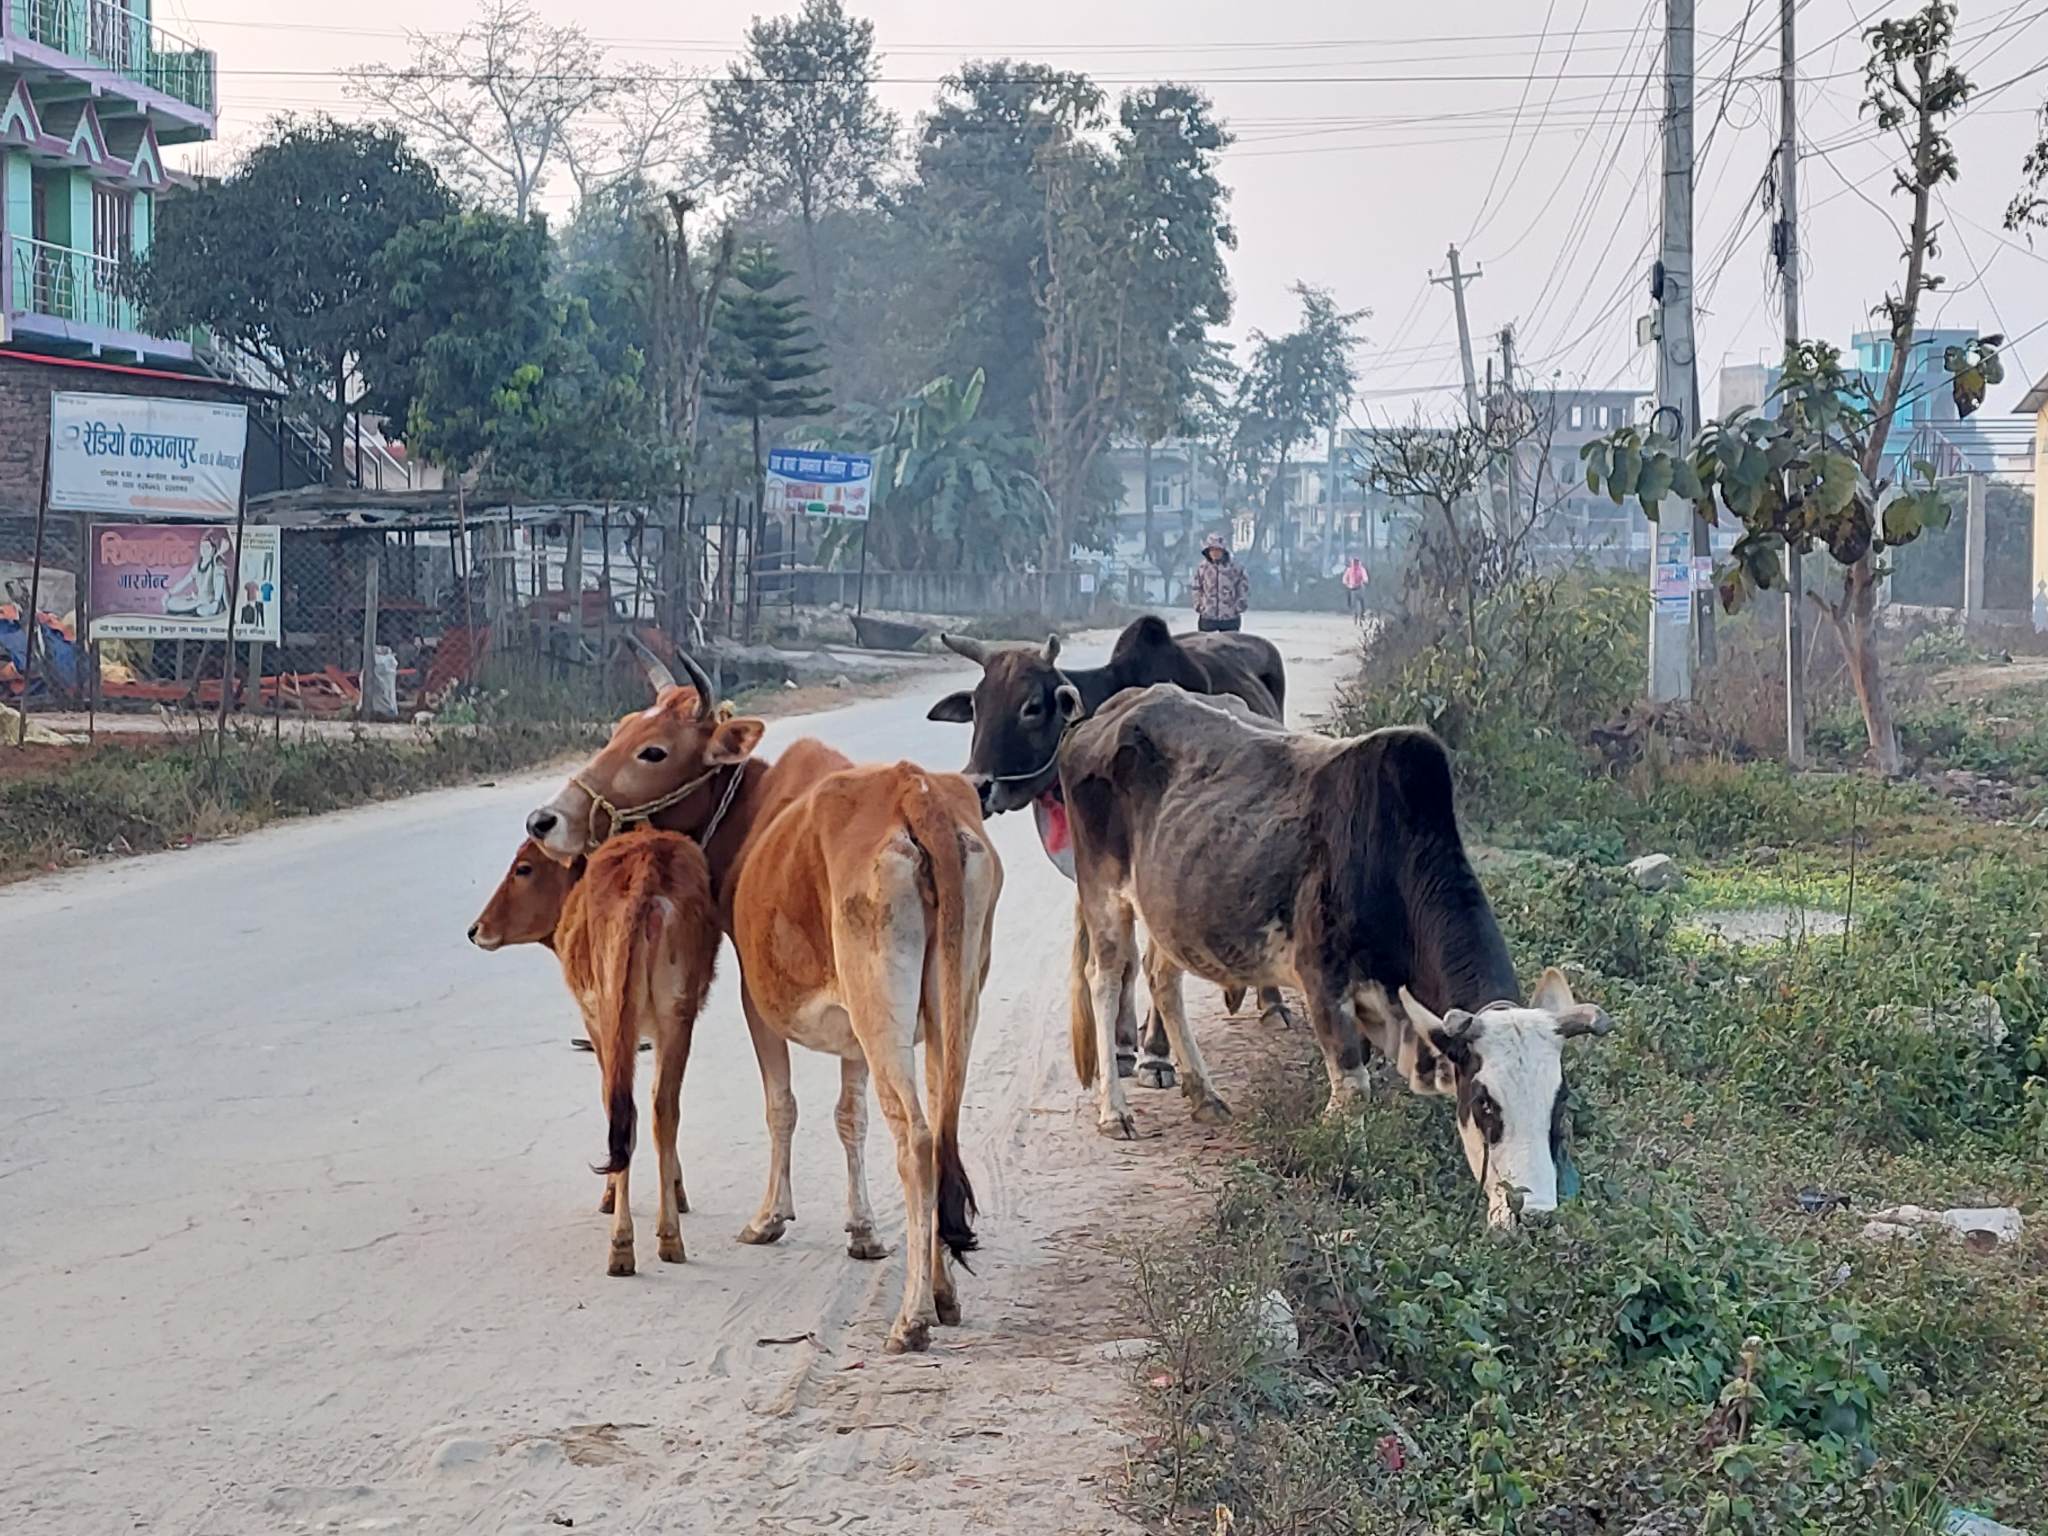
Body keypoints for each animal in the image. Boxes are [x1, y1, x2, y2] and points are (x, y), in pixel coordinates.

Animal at [468, 831, 724, 1277]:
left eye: (524, 867)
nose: (475, 929)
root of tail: (647, 869)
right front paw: (675, 1189)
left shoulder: (595, 1022)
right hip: (676, 1013)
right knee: (662, 1109)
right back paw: (669, 1237)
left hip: (612, 1013)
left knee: (625, 1110)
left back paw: (621, 1244)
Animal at [524, 655, 1003, 1351]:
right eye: (620, 729)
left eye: (653, 749)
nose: (544, 821)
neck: (755, 811)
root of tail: (916, 794)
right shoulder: (852, 1029)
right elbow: (848, 1116)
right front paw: (863, 1232)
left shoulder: (761, 1000)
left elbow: (783, 1107)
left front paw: (769, 1217)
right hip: (952, 1005)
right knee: (943, 1132)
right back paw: (942, 1294)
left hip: (881, 1010)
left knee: (915, 1140)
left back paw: (911, 1317)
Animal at [933, 618, 1294, 1089]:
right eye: (977, 705)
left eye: (1032, 706)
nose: (977, 786)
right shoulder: (1094, 875)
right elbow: (1123, 959)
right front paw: (1123, 1047)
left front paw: (1156, 1055)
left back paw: (1272, 1003)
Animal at [1056, 692, 1613, 1236]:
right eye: (1484, 1102)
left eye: (1560, 1103)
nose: (1535, 1217)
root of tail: (1104, 714)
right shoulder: (1323, 984)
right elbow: (1352, 1091)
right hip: (1104, 893)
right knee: (1105, 981)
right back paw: (1115, 1111)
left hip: (1172, 909)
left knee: (1162, 978)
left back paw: (1204, 1096)